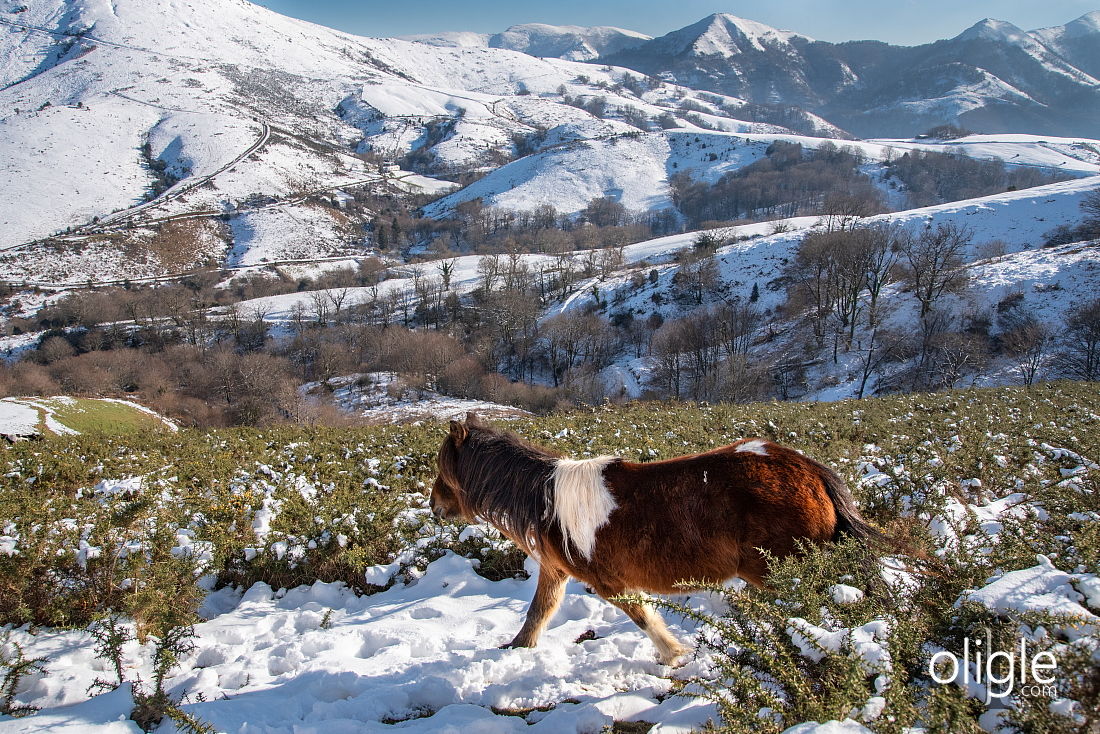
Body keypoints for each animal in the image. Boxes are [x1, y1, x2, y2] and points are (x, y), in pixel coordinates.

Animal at [429, 413, 884, 664]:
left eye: (443, 467)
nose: (433, 505)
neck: (548, 500)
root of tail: (810, 469)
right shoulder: (555, 570)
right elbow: (538, 613)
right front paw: (518, 649)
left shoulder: (608, 582)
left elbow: (643, 617)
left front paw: (673, 656)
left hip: (787, 572)